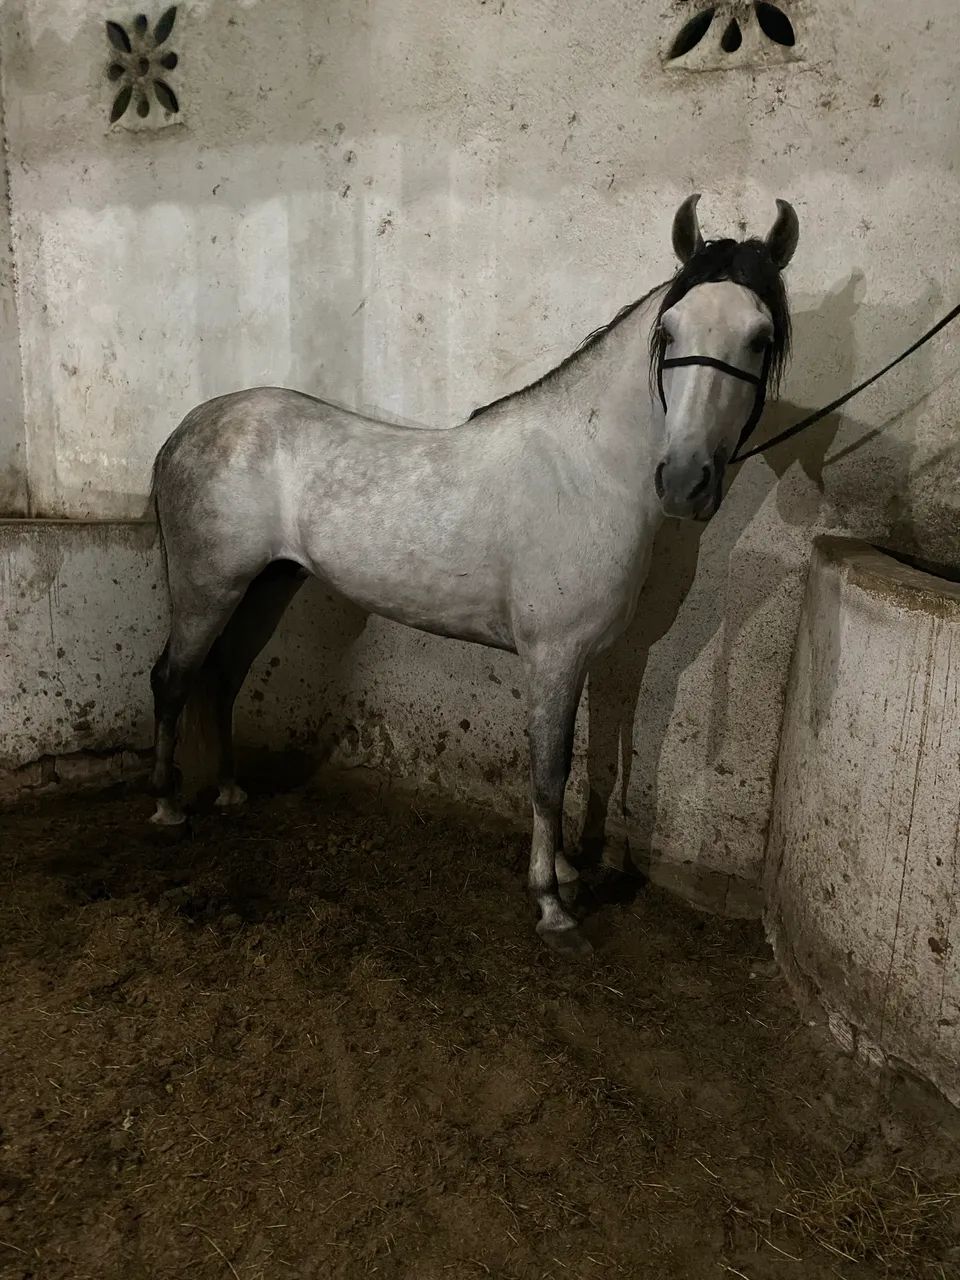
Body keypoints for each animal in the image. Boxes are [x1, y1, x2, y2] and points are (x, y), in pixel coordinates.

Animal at [148, 194, 799, 956]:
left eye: (759, 337)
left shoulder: (585, 659)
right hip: (207, 591)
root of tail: (188, 429)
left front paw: (568, 873)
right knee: (172, 679)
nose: (686, 480)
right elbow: (548, 773)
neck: (589, 471)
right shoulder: (553, 655)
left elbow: (574, 764)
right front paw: (551, 903)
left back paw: (229, 792)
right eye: (670, 331)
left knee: (221, 678)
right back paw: (168, 807)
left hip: (267, 588)